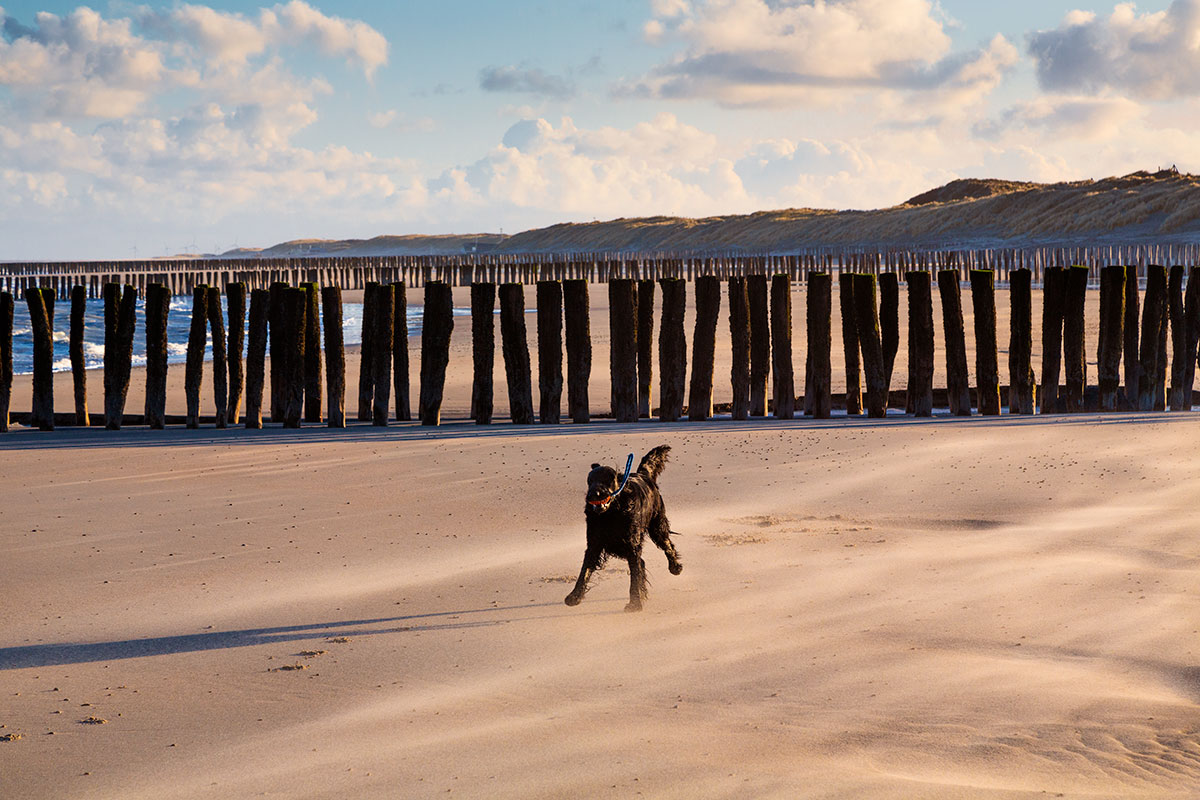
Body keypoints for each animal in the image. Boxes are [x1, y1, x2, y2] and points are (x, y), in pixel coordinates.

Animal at [564, 443, 686, 614]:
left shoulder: (631, 545)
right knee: (643, 562)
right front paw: (574, 596)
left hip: (657, 525)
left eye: (608, 480)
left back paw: (675, 567)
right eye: (590, 481)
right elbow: (585, 570)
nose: (594, 494)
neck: (612, 513)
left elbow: (634, 575)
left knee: (667, 545)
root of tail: (643, 474)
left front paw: (635, 603)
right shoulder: (594, 544)